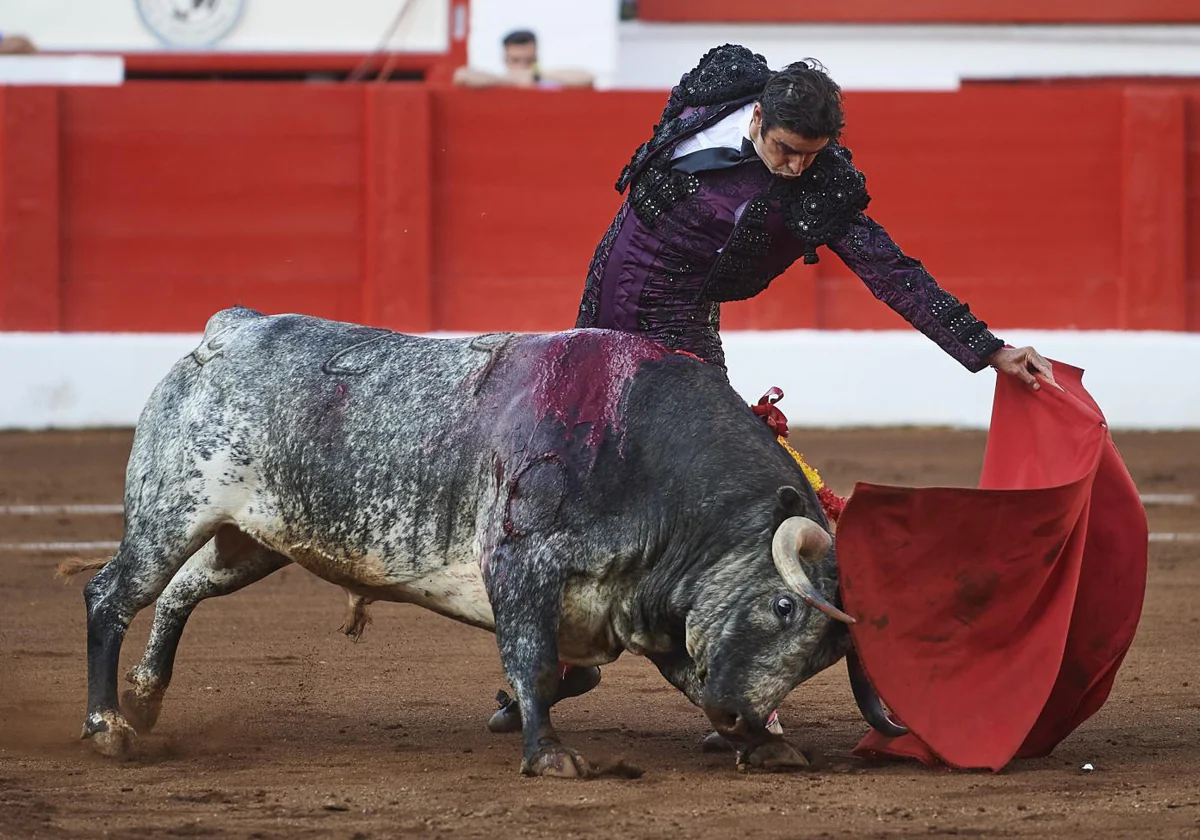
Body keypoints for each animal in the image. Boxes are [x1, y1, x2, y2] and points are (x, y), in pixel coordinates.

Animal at [72, 307, 902, 772]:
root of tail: (229, 332)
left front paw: (766, 745)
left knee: (180, 590)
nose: (739, 715)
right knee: (112, 593)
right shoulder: (520, 566)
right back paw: (107, 727)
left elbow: (655, 674)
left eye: (825, 659)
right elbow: (532, 662)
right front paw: (551, 755)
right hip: (171, 511)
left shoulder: (652, 609)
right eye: (785, 609)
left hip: (251, 540)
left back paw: (145, 696)